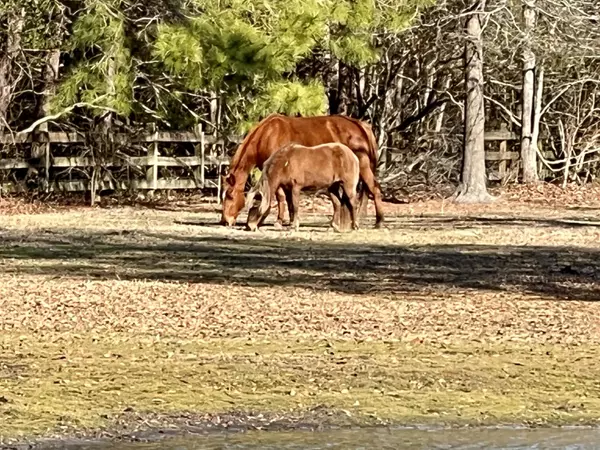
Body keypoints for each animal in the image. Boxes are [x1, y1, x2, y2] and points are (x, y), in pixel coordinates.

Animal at [220, 112, 384, 229]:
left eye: (229, 195)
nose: (225, 221)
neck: (267, 135)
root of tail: (361, 126)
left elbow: (281, 197)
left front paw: (280, 221)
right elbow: (289, 199)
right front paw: (290, 219)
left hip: (363, 168)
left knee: (374, 189)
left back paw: (379, 221)